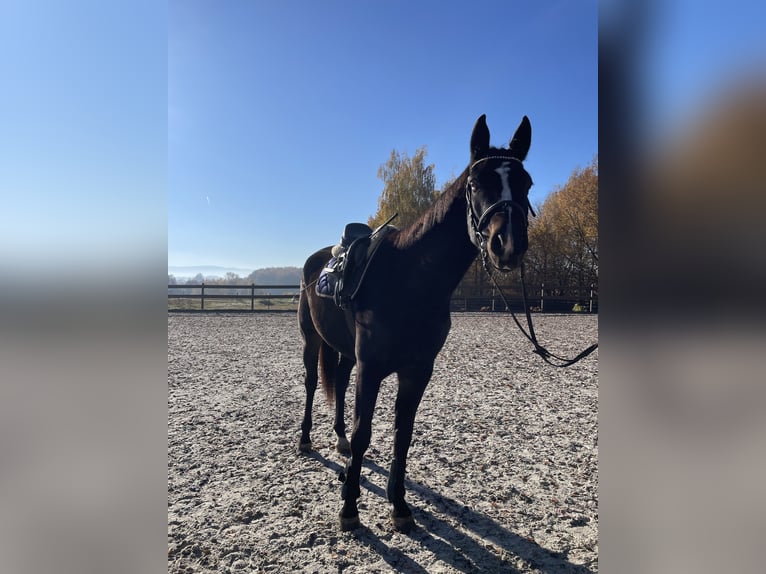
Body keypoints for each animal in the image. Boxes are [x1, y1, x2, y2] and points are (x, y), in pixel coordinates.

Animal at [298, 114, 534, 532]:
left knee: (338, 381)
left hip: (345, 351)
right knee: (312, 383)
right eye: (476, 184)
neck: (410, 280)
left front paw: (399, 505)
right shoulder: (372, 368)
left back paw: (337, 441)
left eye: (527, 184)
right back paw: (305, 439)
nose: (507, 244)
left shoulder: (418, 370)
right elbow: (364, 434)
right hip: (311, 338)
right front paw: (349, 507)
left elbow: (402, 435)